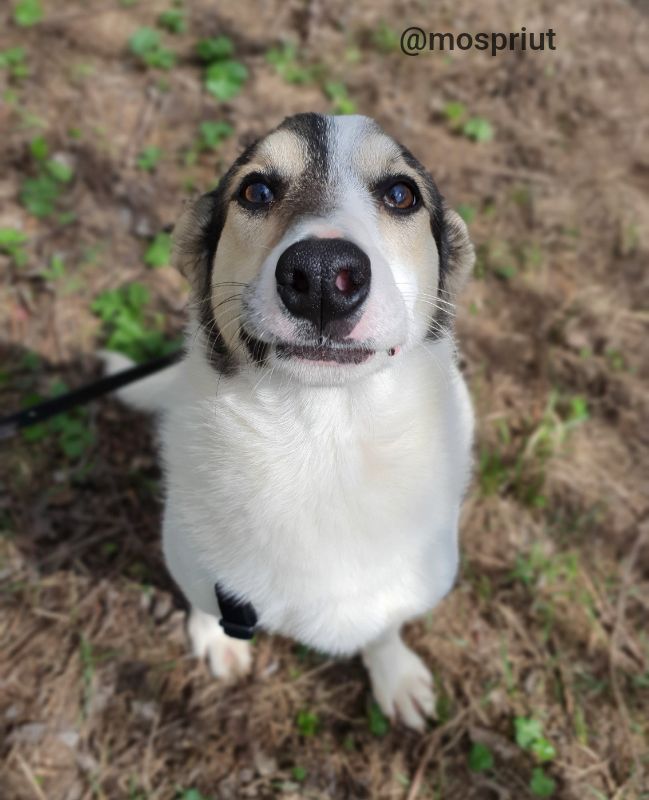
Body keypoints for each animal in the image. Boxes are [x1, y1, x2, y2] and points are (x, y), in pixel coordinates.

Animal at [104, 112, 474, 732]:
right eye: (256, 191)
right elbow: (204, 604)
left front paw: (395, 673)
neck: (322, 442)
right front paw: (217, 641)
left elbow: (386, 627)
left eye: (401, 195)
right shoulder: (191, 564)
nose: (323, 275)